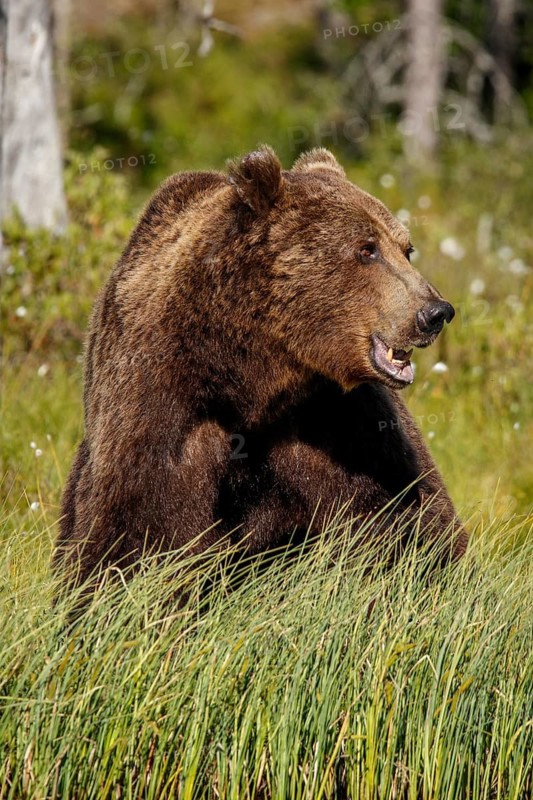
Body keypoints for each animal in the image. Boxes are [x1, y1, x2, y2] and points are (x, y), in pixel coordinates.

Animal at [55, 145, 468, 591]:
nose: (435, 312)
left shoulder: (343, 422)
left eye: (406, 248)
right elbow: (132, 533)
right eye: (366, 249)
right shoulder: (160, 403)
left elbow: (409, 520)